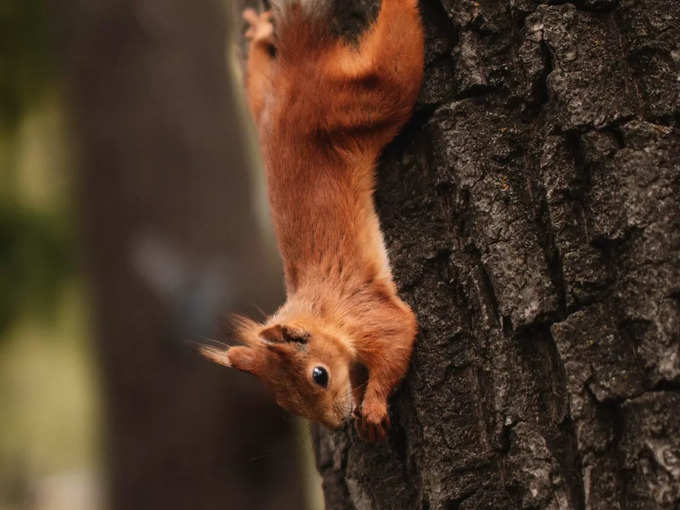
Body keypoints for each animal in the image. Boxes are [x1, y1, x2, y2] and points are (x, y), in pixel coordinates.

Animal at [202, 0, 422, 440]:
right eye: (283, 403)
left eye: (319, 375)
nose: (339, 424)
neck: (319, 311)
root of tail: (295, 72)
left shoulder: (363, 310)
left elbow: (398, 334)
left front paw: (373, 407)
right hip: (263, 102)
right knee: (256, 78)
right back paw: (260, 33)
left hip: (355, 104)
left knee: (395, 65)